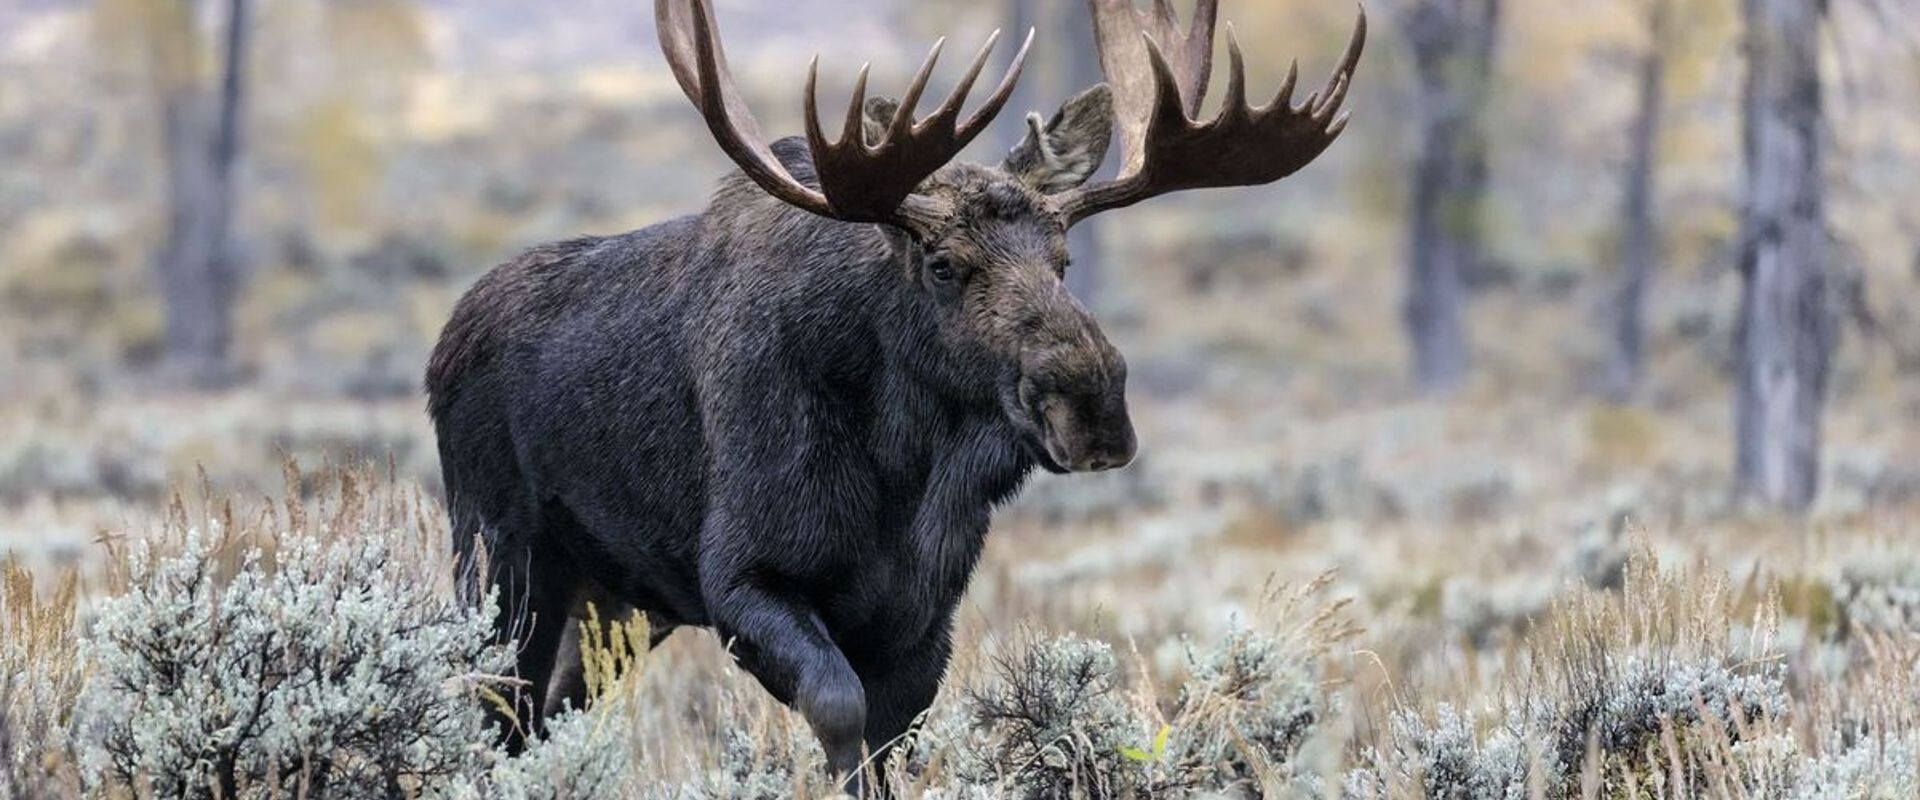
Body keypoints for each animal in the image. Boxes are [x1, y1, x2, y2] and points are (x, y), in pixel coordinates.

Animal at [426, 0, 1363, 789]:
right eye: (944, 264)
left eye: (1063, 260)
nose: (1094, 406)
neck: (901, 477)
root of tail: (444, 344)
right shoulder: (741, 576)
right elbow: (840, 715)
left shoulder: (923, 616)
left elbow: (893, 740)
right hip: (502, 556)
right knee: (494, 707)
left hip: (617, 604)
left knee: (543, 713)